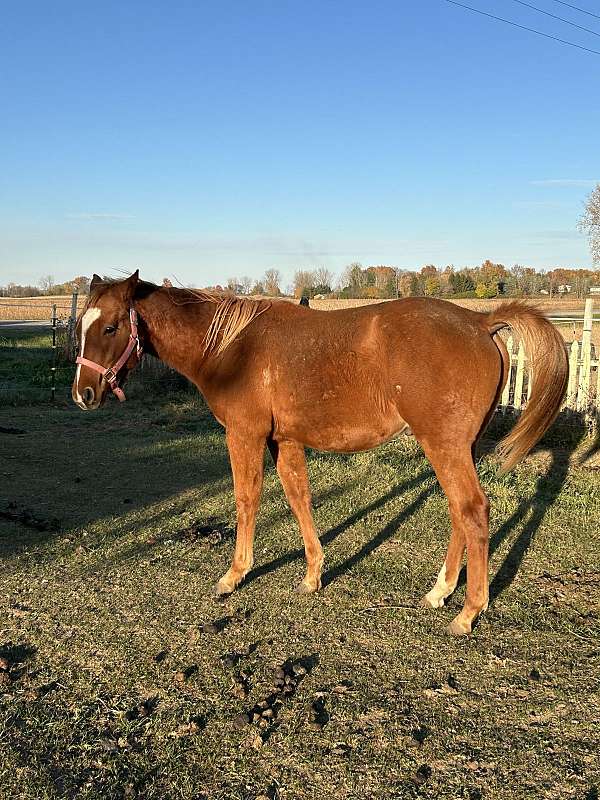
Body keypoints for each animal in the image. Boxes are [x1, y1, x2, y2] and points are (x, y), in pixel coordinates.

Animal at [74, 272, 568, 636]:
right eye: (81, 327)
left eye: (111, 327)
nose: (83, 393)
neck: (231, 347)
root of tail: (480, 322)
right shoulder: (285, 441)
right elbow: (299, 500)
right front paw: (312, 575)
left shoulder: (244, 435)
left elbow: (246, 501)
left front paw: (234, 576)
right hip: (459, 448)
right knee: (458, 515)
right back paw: (440, 591)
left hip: (444, 445)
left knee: (472, 511)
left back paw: (466, 613)